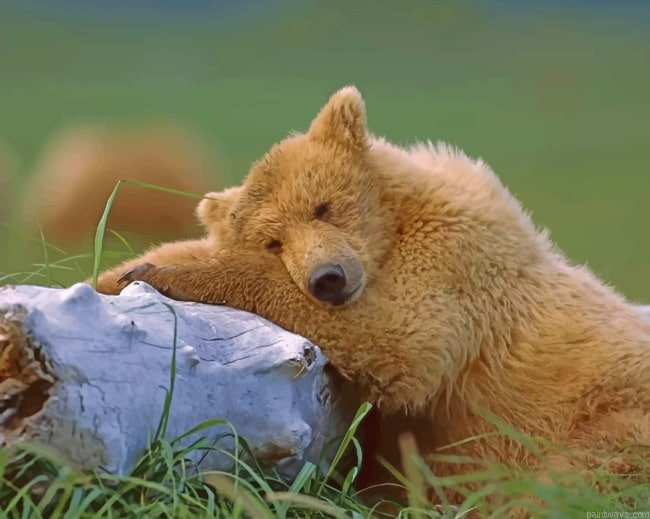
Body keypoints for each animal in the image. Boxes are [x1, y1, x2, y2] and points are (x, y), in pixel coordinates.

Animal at [94, 86, 650, 509]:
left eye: (322, 207)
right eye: (273, 240)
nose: (327, 278)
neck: (392, 229)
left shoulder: (455, 258)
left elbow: (400, 338)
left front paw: (167, 274)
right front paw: (122, 272)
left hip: (608, 416)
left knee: (568, 478)